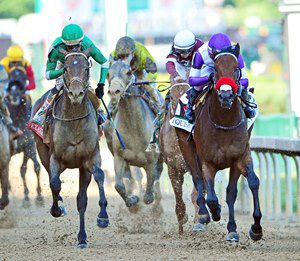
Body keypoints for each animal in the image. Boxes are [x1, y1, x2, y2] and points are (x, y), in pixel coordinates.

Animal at [6, 66, 42, 205]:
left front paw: (38, 197)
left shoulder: (29, 146)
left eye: (23, 77)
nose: (14, 95)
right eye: (11, 77)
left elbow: (31, 168)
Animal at [30, 48, 108, 246]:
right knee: (51, 179)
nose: (76, 93)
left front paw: (103, 217)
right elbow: (55, 183)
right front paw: (57, 209)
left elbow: (99, 176)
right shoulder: (55, 158)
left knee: (82, 199)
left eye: (86, 68)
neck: (74, 122)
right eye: (65, 69)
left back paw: (82, 238)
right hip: (42, 151)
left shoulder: (90, 158)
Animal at [180, 43, 262, 241]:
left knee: (230, 192)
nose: (225, 95)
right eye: (215, 69)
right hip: (187, 150)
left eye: (236, 68)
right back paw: (204, 215)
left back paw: (232, 229)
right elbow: (210, 195)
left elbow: (252, 183)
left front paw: (256, 229)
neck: (224, 122)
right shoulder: (207, 162)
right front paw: (214, 212)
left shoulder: (241, 156)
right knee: (198, 181)